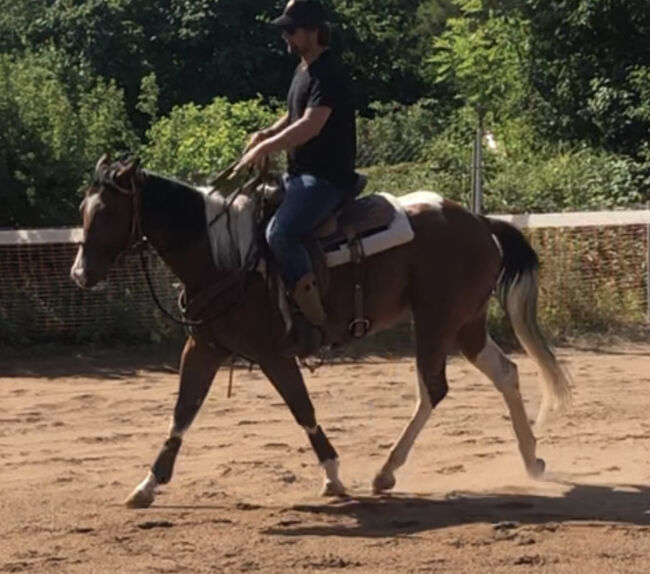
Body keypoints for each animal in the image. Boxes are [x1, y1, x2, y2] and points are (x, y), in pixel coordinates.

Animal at [69, 156, 568, 508]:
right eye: (83, 209)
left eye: (108, 211)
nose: (80, 274)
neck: (226, 258)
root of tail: (480, 222)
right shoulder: (204, 348)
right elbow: (182, 413)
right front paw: (148, 484)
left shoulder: (273, 353)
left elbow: (301, 409)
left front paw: (332, 474)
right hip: (466, 324)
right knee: (505, 373)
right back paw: (532, 458)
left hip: (436, 321)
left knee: (433, 388)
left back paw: (387, 470)